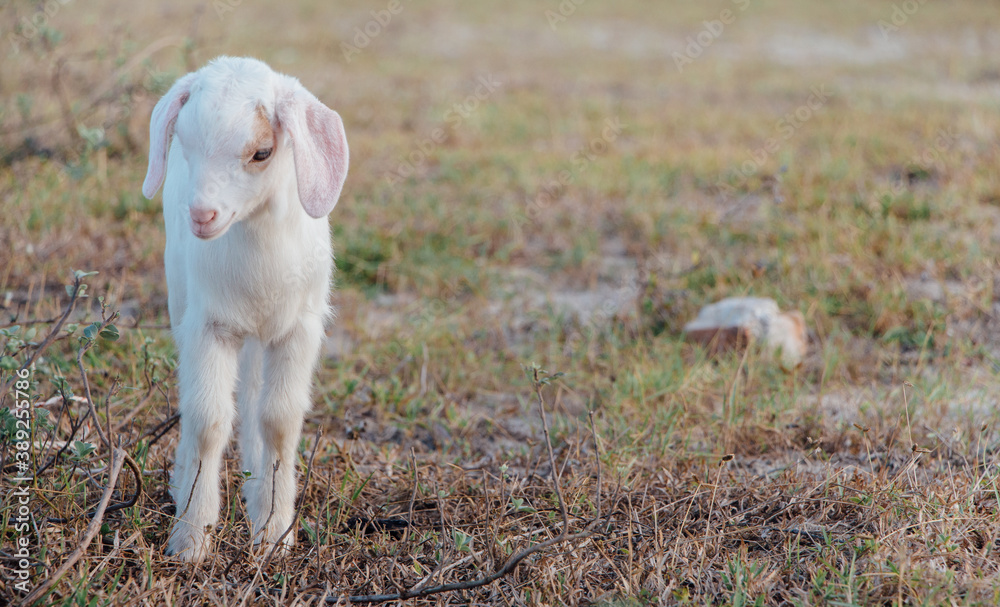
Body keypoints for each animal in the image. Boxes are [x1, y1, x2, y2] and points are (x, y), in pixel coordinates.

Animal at [142, 56, 349, 562]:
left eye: (262, 152)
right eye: (184, 142)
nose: (202, 216)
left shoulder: (298, 330)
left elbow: (279, 421)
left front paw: (274, 533)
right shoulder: (208, 325)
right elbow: (208, 419)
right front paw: (190, 539)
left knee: (256, 398)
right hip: (181, 298)